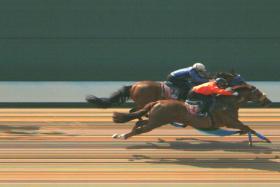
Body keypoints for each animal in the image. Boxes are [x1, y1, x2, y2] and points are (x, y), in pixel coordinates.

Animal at [111, 84, 272, 147]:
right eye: (258, 92)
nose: (268, 102)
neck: (228, 102)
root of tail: (157, 101)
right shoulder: (229, 121)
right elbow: (248, 127)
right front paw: (266, 140)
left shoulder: (232, 121)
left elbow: (246, 128)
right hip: (156, 122)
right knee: (139, 128)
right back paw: (123, 136)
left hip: (154, 120)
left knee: (138, 123)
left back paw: (121, 134)